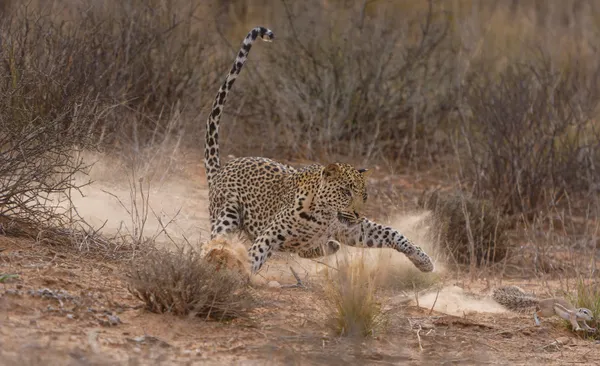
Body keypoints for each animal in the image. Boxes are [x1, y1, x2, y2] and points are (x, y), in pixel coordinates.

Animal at [204, 25, 434, 274]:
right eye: (345, 192)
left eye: (364, 195)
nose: (357, 212)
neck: (323, 217)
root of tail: (222, 169)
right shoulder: (272, 234)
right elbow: (256, 254)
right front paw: (239, 274)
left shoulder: (356, 229)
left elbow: (393, 232)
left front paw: (423, 260)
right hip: (226, 214)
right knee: (218, 239)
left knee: (310, 248)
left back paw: (327, 246)